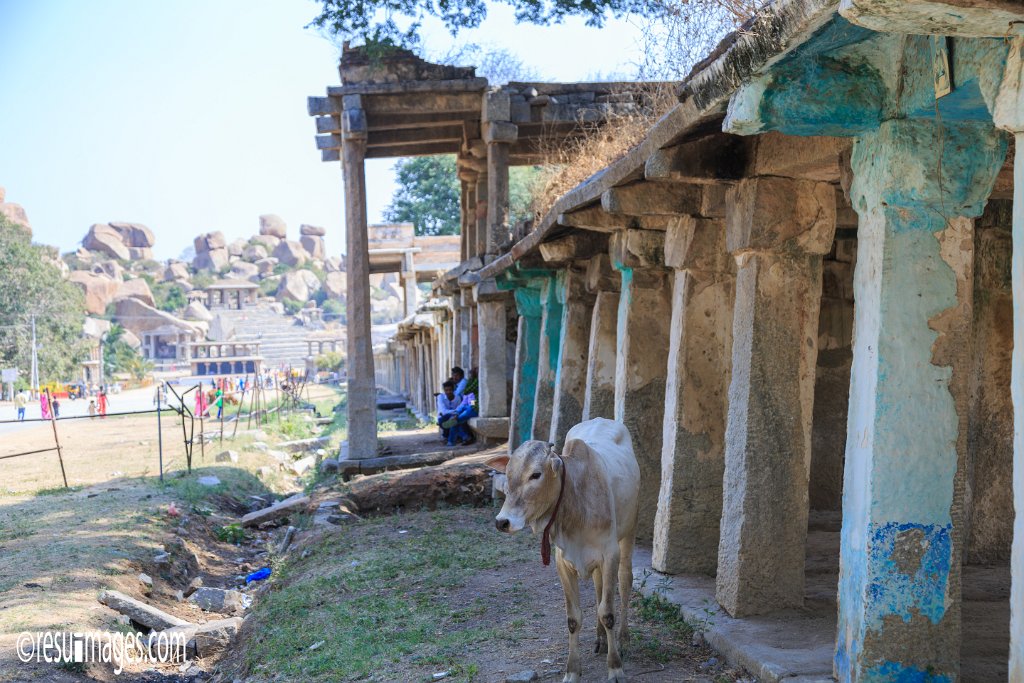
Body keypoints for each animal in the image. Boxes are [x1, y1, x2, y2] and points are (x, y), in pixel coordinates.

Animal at [487, 417, 638, 683]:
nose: (502, 522)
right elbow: (573, 618)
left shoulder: (610, 555)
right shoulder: (563, 563)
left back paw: (624, 639)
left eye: (535, 475)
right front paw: (572, 671)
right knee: (598, 589)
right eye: (508, 474)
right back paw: (600, 639)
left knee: (625, 580)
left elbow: (608, 613)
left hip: (629, 533)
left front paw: (615, 668)